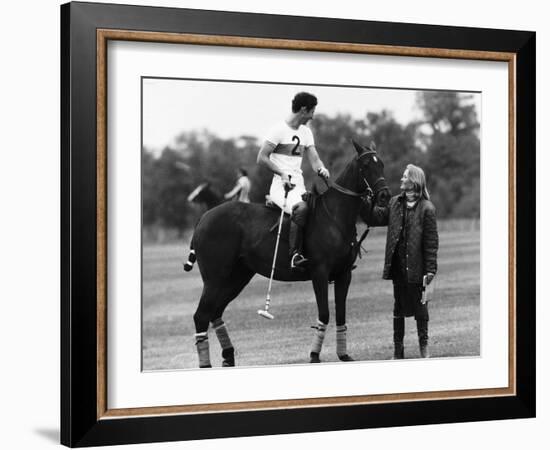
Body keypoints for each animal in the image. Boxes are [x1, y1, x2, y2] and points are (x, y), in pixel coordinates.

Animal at [187, 140, 392, 366]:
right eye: (365, 165)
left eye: (381, 164)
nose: (384, 196)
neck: (335, 217)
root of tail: (203, 218)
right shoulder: (319, 272)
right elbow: (324, 314)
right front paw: (314, 356)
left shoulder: (344, 274)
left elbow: (341, 315)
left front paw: (344, 356)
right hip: (214, 278)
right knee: (201, 315)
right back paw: (206, 364)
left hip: (237, 276)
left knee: (215, 312)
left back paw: (228, 357)